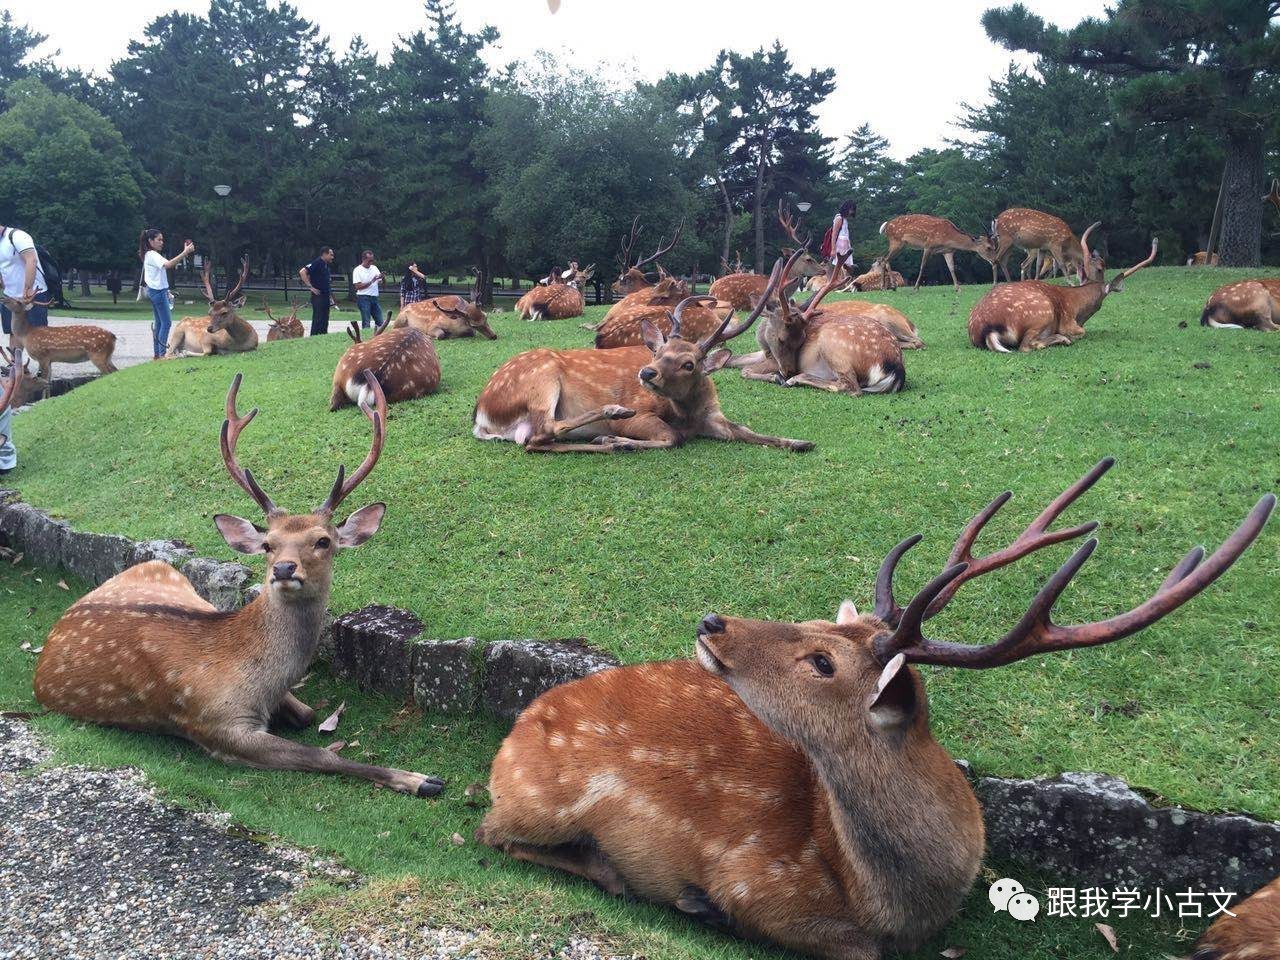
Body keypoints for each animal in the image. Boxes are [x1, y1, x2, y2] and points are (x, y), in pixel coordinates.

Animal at [30, 371, 445, 798]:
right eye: (268, 544)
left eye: (323, 541)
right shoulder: (218, 727)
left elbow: (308, 713)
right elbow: (322, 755)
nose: (284, 569)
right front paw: (420, 779)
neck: (254, 678)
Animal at [476, 263, 814, 455]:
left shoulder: (713, 418)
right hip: (541, 378)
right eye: (659, 352)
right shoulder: (643, 413)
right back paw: (613, 420)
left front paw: (800, 442)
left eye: (689, 364)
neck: (687, 414)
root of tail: (481, 417)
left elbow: (744, 430)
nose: (646, 373)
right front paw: (621, 439)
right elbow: (673, 437)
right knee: (543, 429)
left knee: (535, 441)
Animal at [478, 458, 1269, 960]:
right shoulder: (759, 880)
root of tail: (514, 731)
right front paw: (699, 905)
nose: (712, 621)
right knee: (491, 831)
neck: (900, 897)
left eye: (823, 659)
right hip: (542, 799)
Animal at [967, 225, 1162, 353]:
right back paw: (1062, 340)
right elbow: (1081, 332)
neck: (1077, 306)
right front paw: (1068, 337)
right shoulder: (1069, 323)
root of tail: (986, 328)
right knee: (1026, 345)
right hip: (1042, 312)